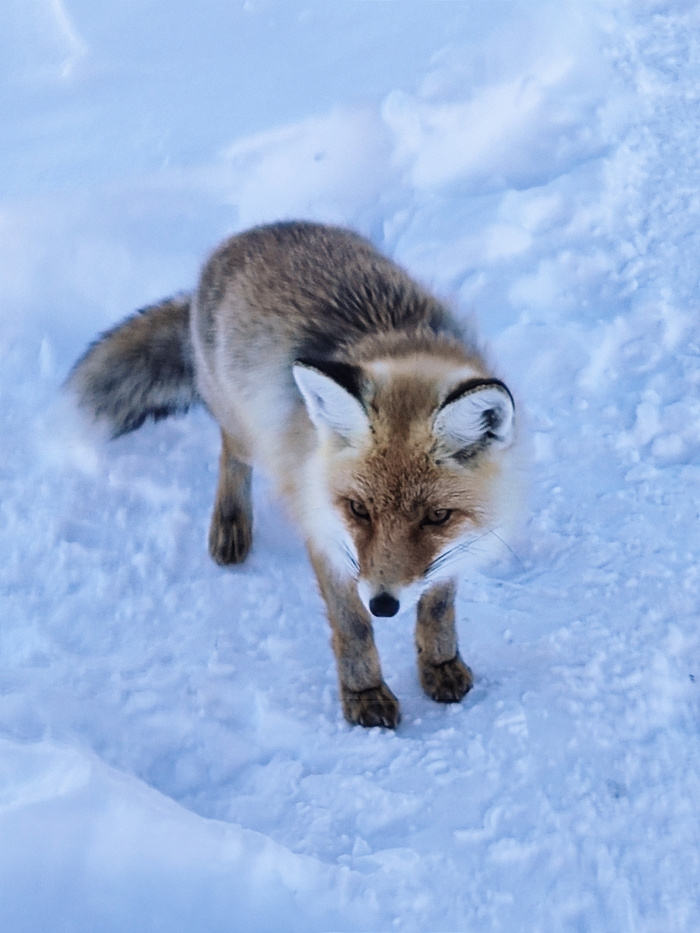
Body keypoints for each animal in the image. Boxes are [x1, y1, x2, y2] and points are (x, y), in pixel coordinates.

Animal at [69, 220, 520, 728]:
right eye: (358, 509)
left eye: (437, 517)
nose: (384, 605)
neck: (395, 343)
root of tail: (251, 235)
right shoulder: (324, 530)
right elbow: (352, 626)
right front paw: (364, 694)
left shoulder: (456, 543)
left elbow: (438, 606)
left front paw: (440, 664)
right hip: (244, 424)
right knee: (231, 451)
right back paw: (230, 526)